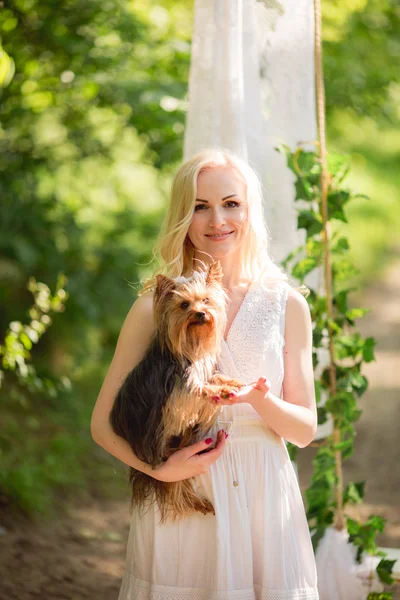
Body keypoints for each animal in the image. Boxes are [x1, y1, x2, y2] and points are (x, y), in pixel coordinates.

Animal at [111, 260, 245, 524]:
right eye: (184, 305)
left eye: (206, 300)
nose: (200, 313)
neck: (193, 345)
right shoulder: (180, 387)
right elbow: (200, 389)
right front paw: (222, 391)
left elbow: (214, 377)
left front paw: (230, 382)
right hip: (164, 452)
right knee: (172, 485)